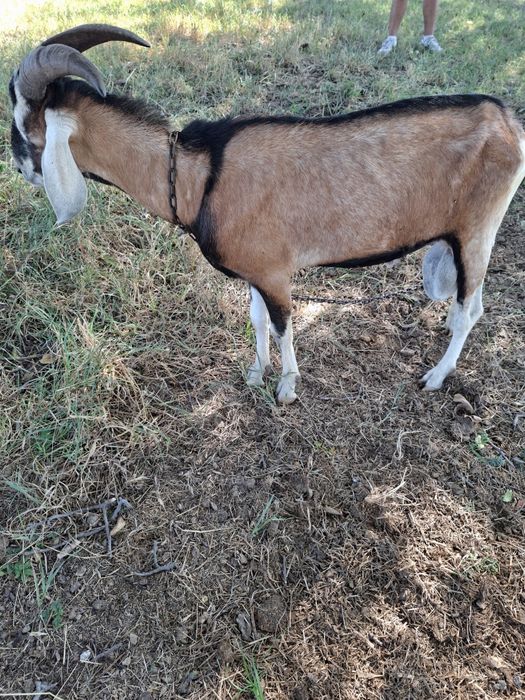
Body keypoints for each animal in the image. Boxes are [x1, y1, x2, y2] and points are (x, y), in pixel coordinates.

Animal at [9, 24, 525, 404]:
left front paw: (286, 389)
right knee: (468, 305)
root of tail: (505, 119)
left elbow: (282, 327)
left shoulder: (276, 274)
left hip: (476, 231)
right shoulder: (254, 270)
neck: (200, 176)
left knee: (469, 309)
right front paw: (256, 374)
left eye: (21, 124)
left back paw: (435, 377)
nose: (17, 165)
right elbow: (257, 321)